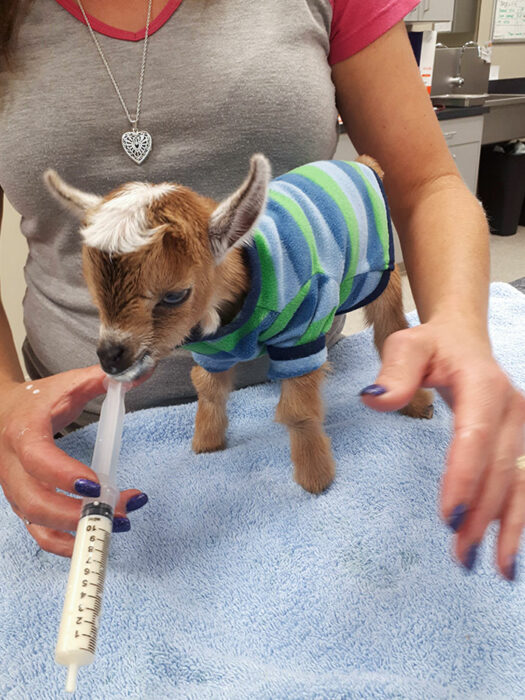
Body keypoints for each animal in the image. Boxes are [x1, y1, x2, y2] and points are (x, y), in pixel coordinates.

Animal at [44, 154, 430, 492]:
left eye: (175, 295)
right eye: (94, 295)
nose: (111, 357)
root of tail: (361, 162)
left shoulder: (303, 330)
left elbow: (299, 409)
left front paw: (315, 478)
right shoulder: (213, 349)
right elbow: (208, 388)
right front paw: (206, 444)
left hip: (376, 272)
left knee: (389, 327)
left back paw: (413, 401)